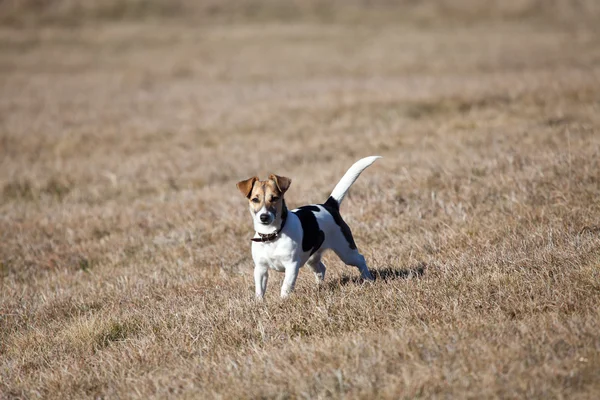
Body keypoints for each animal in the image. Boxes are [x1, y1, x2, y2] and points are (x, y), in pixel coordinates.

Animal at [236, 156, 380, 296]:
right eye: (255, 199)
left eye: (275, 198)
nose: (264, 217)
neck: (272, 235)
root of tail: (329, 206)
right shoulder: (260, 268)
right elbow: (259, 291)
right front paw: (259, 302)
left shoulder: (292, 265)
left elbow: (286, 287)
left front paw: (284, 300)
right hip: (312, 258)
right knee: (321, 268)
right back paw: (319, 287)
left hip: (346, 251)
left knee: (360, 259)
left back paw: (368, 279)